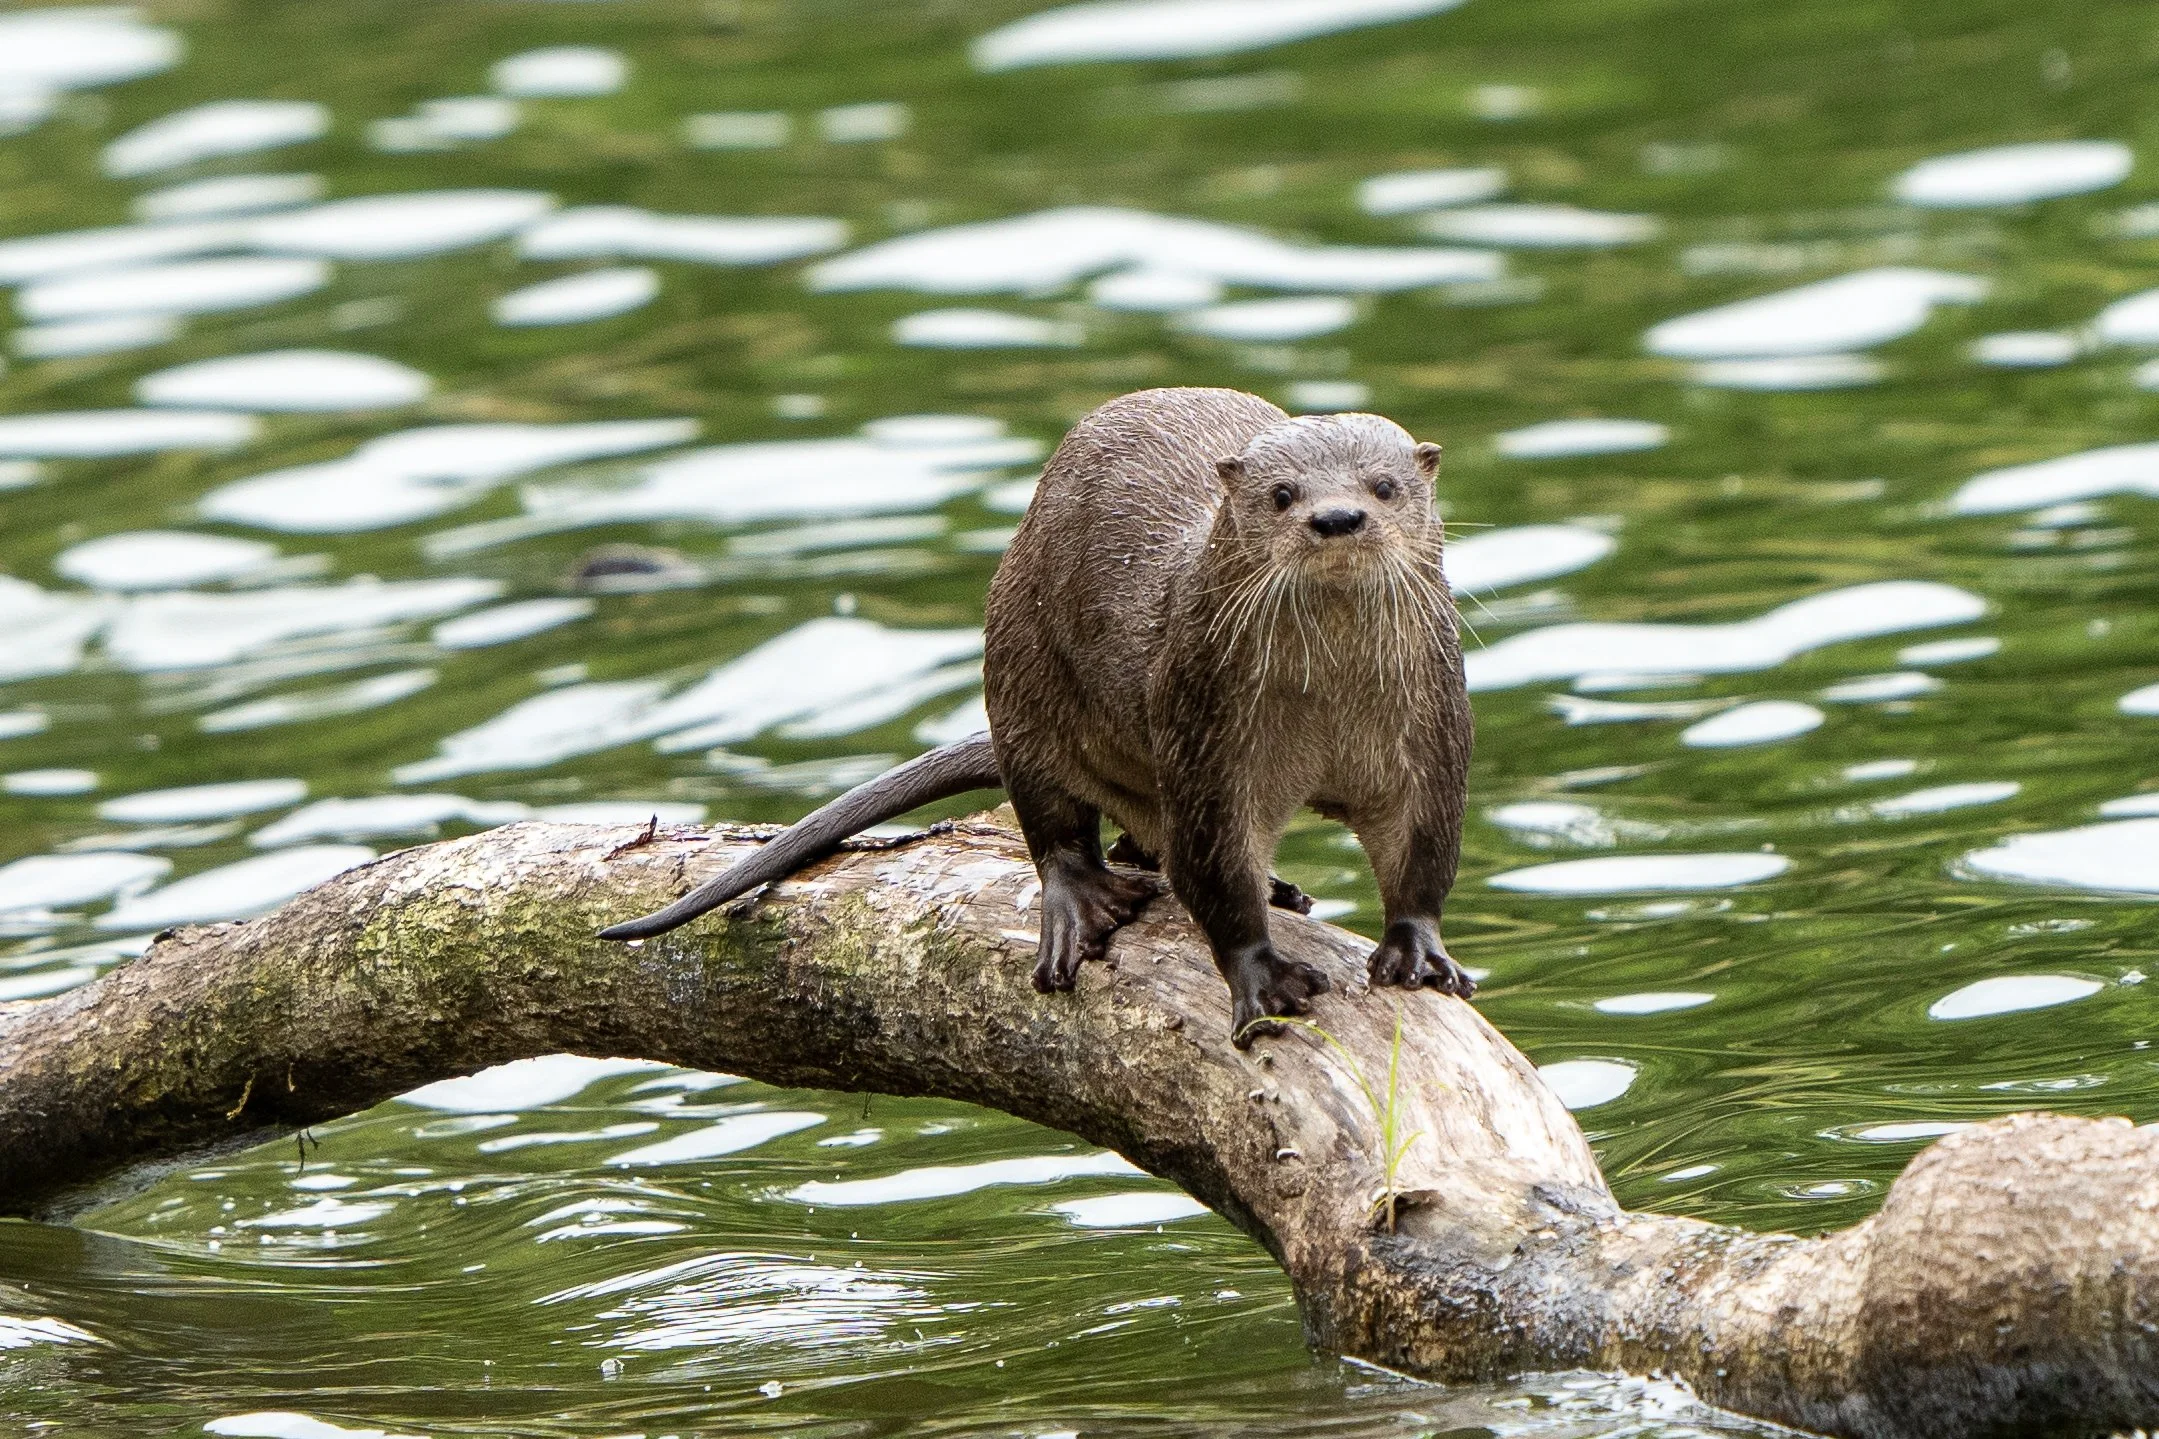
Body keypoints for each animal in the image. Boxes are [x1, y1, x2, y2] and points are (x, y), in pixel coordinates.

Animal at [602, 387, 1474, 1045]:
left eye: (1383, 486)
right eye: (1281, 494)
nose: (1336, 518)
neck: (1323, 707)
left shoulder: (1430, 728)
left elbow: (1421, 846)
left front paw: (1418, 951)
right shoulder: (1206, 741)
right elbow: (1215, 869)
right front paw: (1262, 976)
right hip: (1017, 682)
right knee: (1059, 826)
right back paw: (1085, 900)